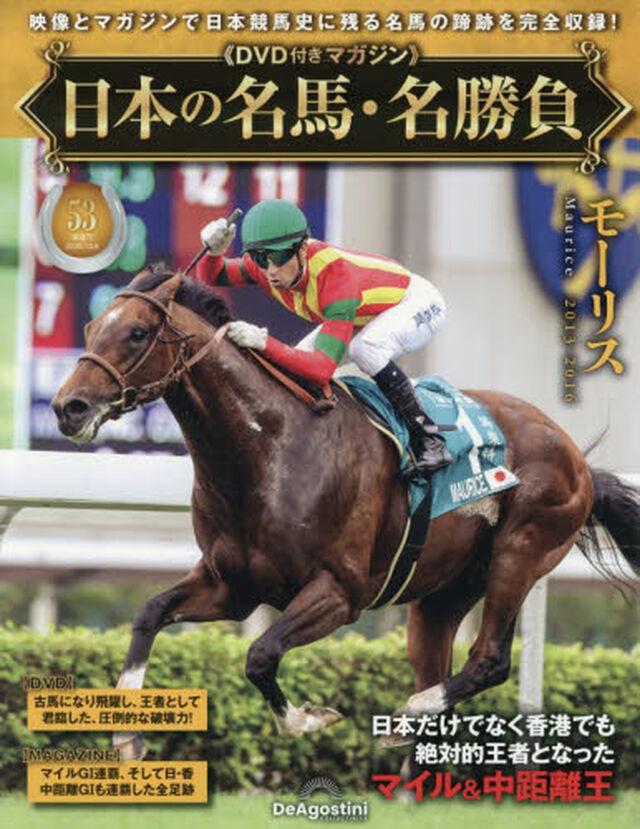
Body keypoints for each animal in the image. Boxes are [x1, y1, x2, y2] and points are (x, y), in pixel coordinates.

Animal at [52, 266, 640, 761]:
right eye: (91, 325)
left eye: (136, 333)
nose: (68, 407)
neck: (269, 450)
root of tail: (580, 461)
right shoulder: (232, 586)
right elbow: (149, 613)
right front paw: (126, 735)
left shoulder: (340, 592)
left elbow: (261, 654)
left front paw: (309, 719)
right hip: (443, 594)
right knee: (441, 667)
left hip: (519, 552)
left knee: (489, 659)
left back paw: (408, 712)